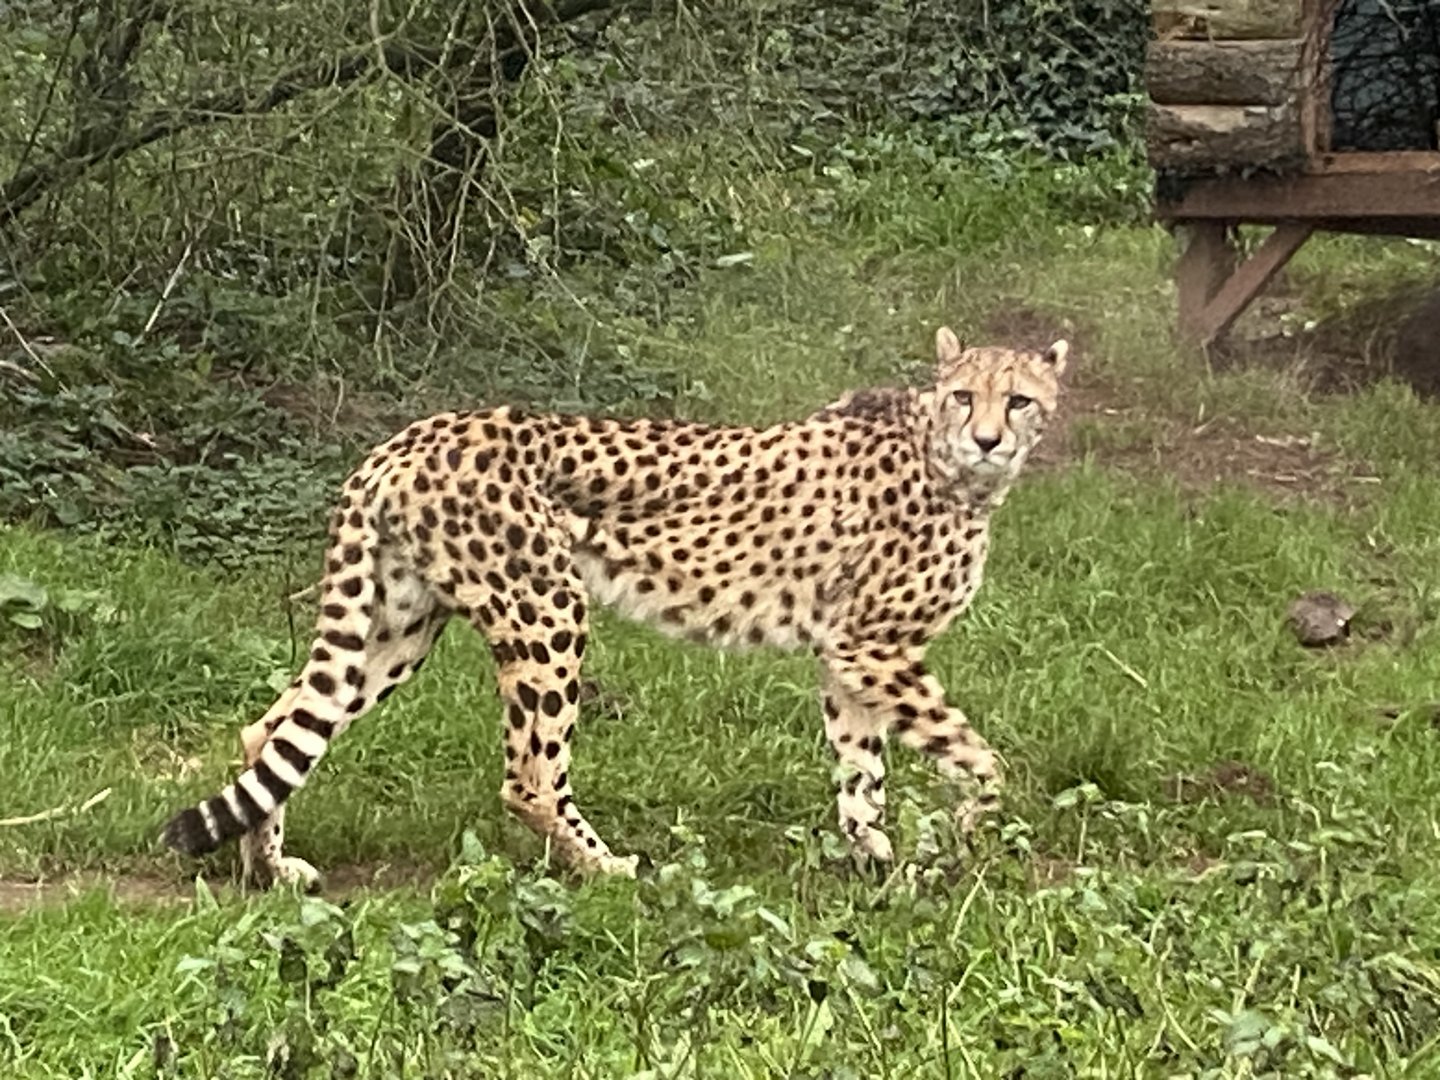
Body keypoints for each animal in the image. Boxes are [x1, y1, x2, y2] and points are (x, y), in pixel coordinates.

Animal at [161, 327, 1069, 889]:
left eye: (1020, 400)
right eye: (965, 397)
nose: (989, 438)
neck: (946, 460)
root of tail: (408, 436)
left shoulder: (849, 655)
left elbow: (860, 770)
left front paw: (874, 858)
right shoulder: (875, 648)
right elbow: (979, 757)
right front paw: (968, 826)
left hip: (399, 626)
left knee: (272, 729)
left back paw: (269, 870)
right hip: (546, 609)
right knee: (529, 777)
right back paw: (607, 871)